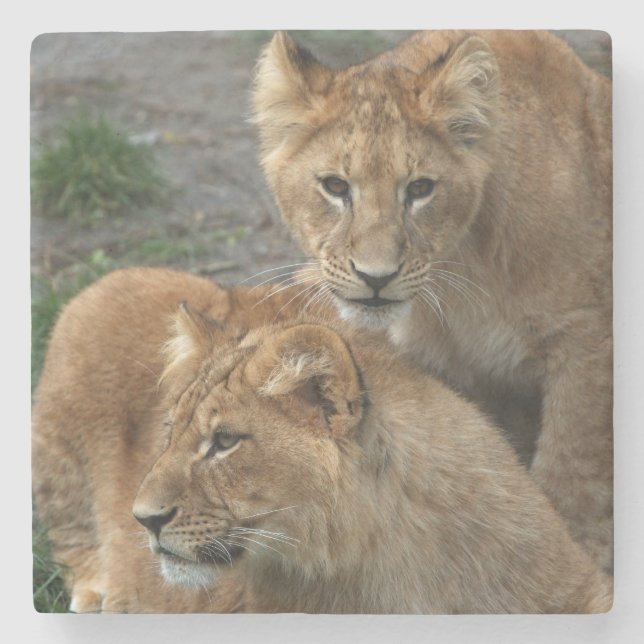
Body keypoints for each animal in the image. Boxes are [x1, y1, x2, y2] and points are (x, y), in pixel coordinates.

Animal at [252, 30, 613, 570]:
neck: (462, 269)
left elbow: (573, 480)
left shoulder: (587, 345)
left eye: (420, 188)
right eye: (335, 186)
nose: (375, 278)